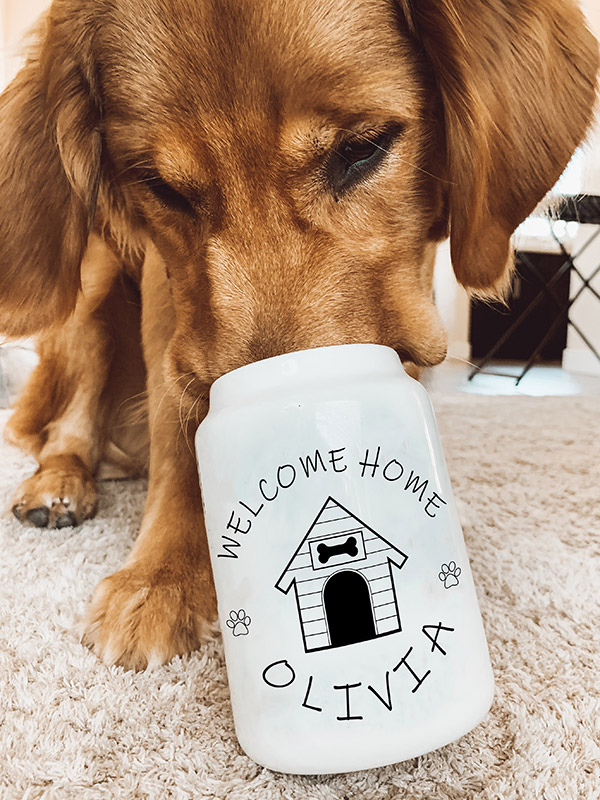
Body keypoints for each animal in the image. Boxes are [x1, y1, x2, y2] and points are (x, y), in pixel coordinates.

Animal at [0, 1, 596, 668]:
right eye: (161, 187)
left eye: (363, 148)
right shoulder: (169, 291)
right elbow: (178, 433)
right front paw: (163, 576)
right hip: (93, 281)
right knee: (67, 424)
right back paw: (58, 484)